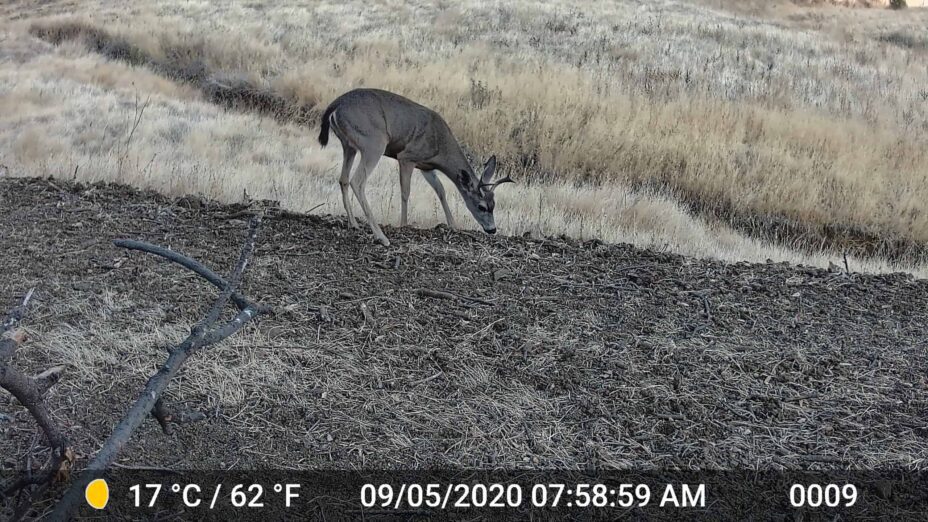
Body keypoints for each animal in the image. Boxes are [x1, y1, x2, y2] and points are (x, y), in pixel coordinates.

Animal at [320, 88, 516, 246]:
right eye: (482, 207)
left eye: (494, 205)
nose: (492, 229)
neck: (441, 146)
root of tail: (335, 106)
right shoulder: (407, 157)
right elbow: (405, 191)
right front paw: (403, 223)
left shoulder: (426, 166)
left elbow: (441, 190)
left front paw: (453, 225)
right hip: (373, 142)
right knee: (357, 181)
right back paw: (382, 237)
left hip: (349, 145)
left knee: (343, 179)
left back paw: (353, 224)